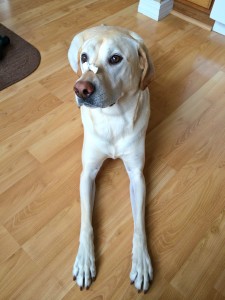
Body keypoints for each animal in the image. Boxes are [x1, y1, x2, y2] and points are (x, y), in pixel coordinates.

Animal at [67, 25, 154, 292]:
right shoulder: (88, 173)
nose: (81, 89)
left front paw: (141, 262)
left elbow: (139, 225)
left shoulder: (137, 176)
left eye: (115, 59)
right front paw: (85, 260)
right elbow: (86, 221)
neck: (114, 118)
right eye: (86, 58)